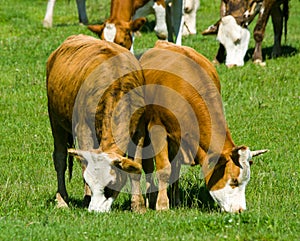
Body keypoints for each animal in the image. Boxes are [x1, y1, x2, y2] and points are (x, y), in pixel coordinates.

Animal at [45, 34, 146, 213]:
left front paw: (138, 206)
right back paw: (62, 199)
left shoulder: (139, 131)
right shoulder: (83, 128)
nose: (95, 211)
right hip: (55, 119)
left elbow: (136, 167)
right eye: (90, 182)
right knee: (60, 158)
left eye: (110, 186)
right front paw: (86, 198)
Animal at [138, 41, 268, 213]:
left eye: (246, 181)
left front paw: (173, 201)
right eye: (234, 180)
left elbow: (174, 168)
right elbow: (164, 169)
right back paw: (150, 198)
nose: (240, 210)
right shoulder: (157, 128)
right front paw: (162, 205)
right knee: (147, 165)